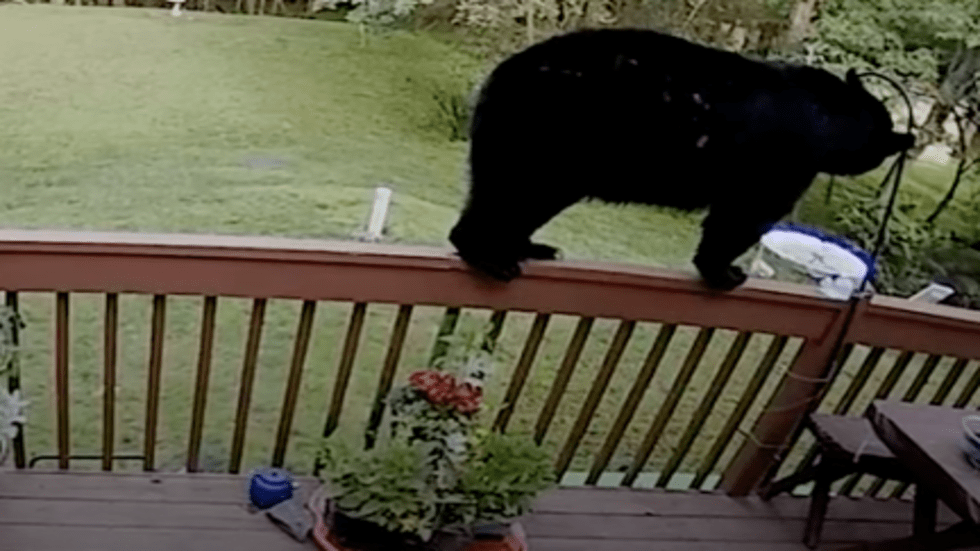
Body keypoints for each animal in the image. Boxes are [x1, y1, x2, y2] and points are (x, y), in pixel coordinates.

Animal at [448, 28, 915, 290]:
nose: (899, 141)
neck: (828, 119)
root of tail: (497, 75)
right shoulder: (781, 164)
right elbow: (742, 217)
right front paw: (723, 272)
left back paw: (528, 245)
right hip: (544, 142)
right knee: (508, 196)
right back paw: (490, 256)